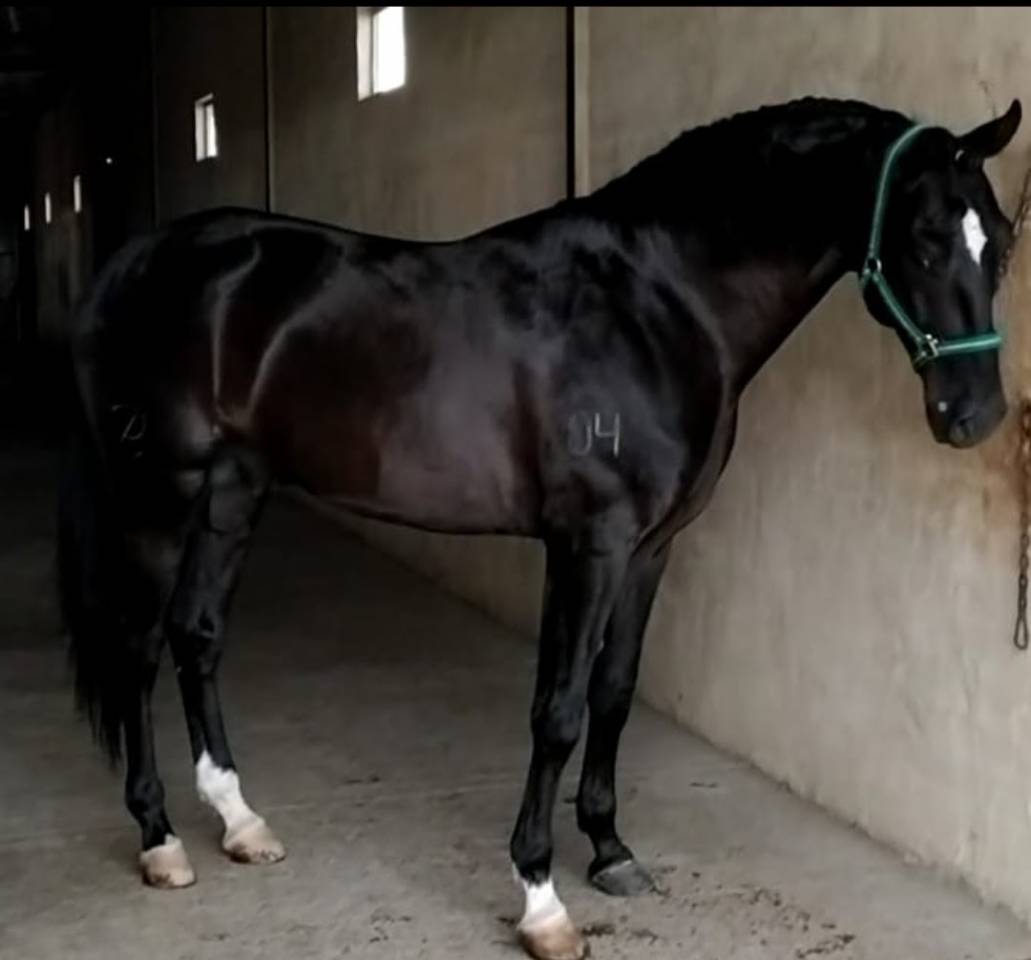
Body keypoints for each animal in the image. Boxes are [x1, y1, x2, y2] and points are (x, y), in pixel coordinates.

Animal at [57, 96, 1021, 960]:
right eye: (925, 238)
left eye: (1000, 241)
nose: (971, 415)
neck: (657, 305)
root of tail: (141, 259)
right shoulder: (587, 545)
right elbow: (555, 710)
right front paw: (541, 900)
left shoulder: (651, 548)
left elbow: (614, 691)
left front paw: (611, 850)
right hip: (159, 496)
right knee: (139, 648)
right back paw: (159, 838)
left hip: (234, 488)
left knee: (198, 634)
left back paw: (240, 820)